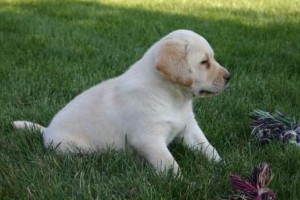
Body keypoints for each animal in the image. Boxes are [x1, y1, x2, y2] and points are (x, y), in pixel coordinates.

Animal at [12, 29, 231, 175]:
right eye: (204, 62)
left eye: (212, 58)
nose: (229, 77)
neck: (173, 98)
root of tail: (46, 130)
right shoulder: (148, 138)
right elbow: (170, 164)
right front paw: (183, 182)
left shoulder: (189, 127)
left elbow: (208, 147)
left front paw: (223, 166)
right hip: (72, 147)